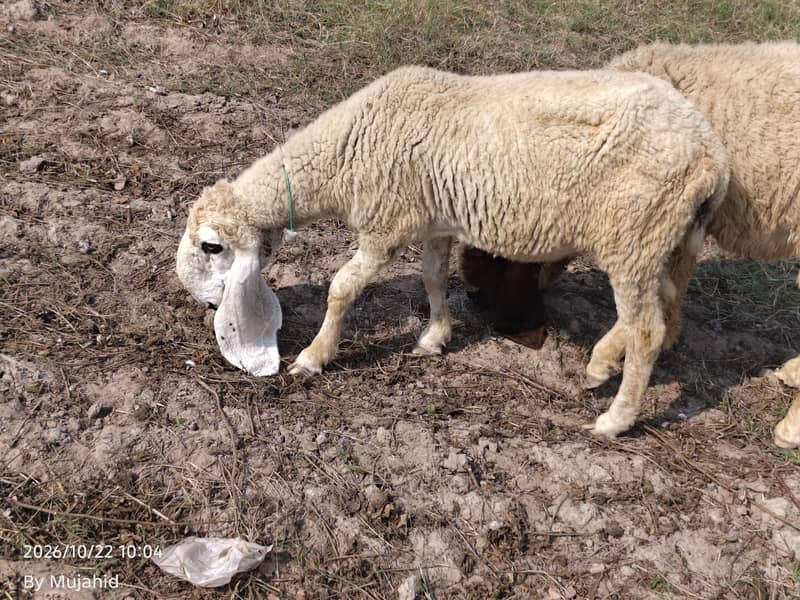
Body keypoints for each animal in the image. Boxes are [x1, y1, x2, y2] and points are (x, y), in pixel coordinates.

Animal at [176, 65, 729, 438]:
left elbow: (342, 288)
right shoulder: (434, 221)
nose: (207, 306)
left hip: (633, 233)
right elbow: (434, 278)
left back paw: (616, 418)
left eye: (212, 245)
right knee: (659, 303)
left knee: (647, 328)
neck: (347, 148)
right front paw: (434, 338)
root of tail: (711, 155)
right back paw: (600, 365)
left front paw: (314, 356)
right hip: (657, 238)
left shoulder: (386, 223)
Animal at [458, 41, 800, 447]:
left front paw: (605, 361)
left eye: (492, 259)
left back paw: (789, 428)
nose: (472, 294)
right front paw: (666, 336)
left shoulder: (662, 224)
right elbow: (671, 288)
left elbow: (655, 303)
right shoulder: (682, 227)